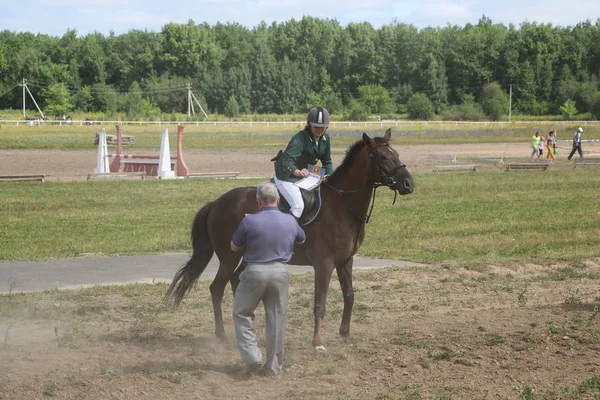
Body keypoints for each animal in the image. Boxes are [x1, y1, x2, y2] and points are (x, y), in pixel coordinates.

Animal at [166, 128, 414, 350]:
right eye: (382, 157)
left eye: (397, 155)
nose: (409, 184)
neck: (343, 205)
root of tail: (215, 203)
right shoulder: (324, 264)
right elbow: (320, 303)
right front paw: (317, 342)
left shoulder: (346, 261)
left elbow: (350, 295)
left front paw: (345, 333)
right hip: (229, 257)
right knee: (217, 288)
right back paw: (223, 336)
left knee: (237, 282)